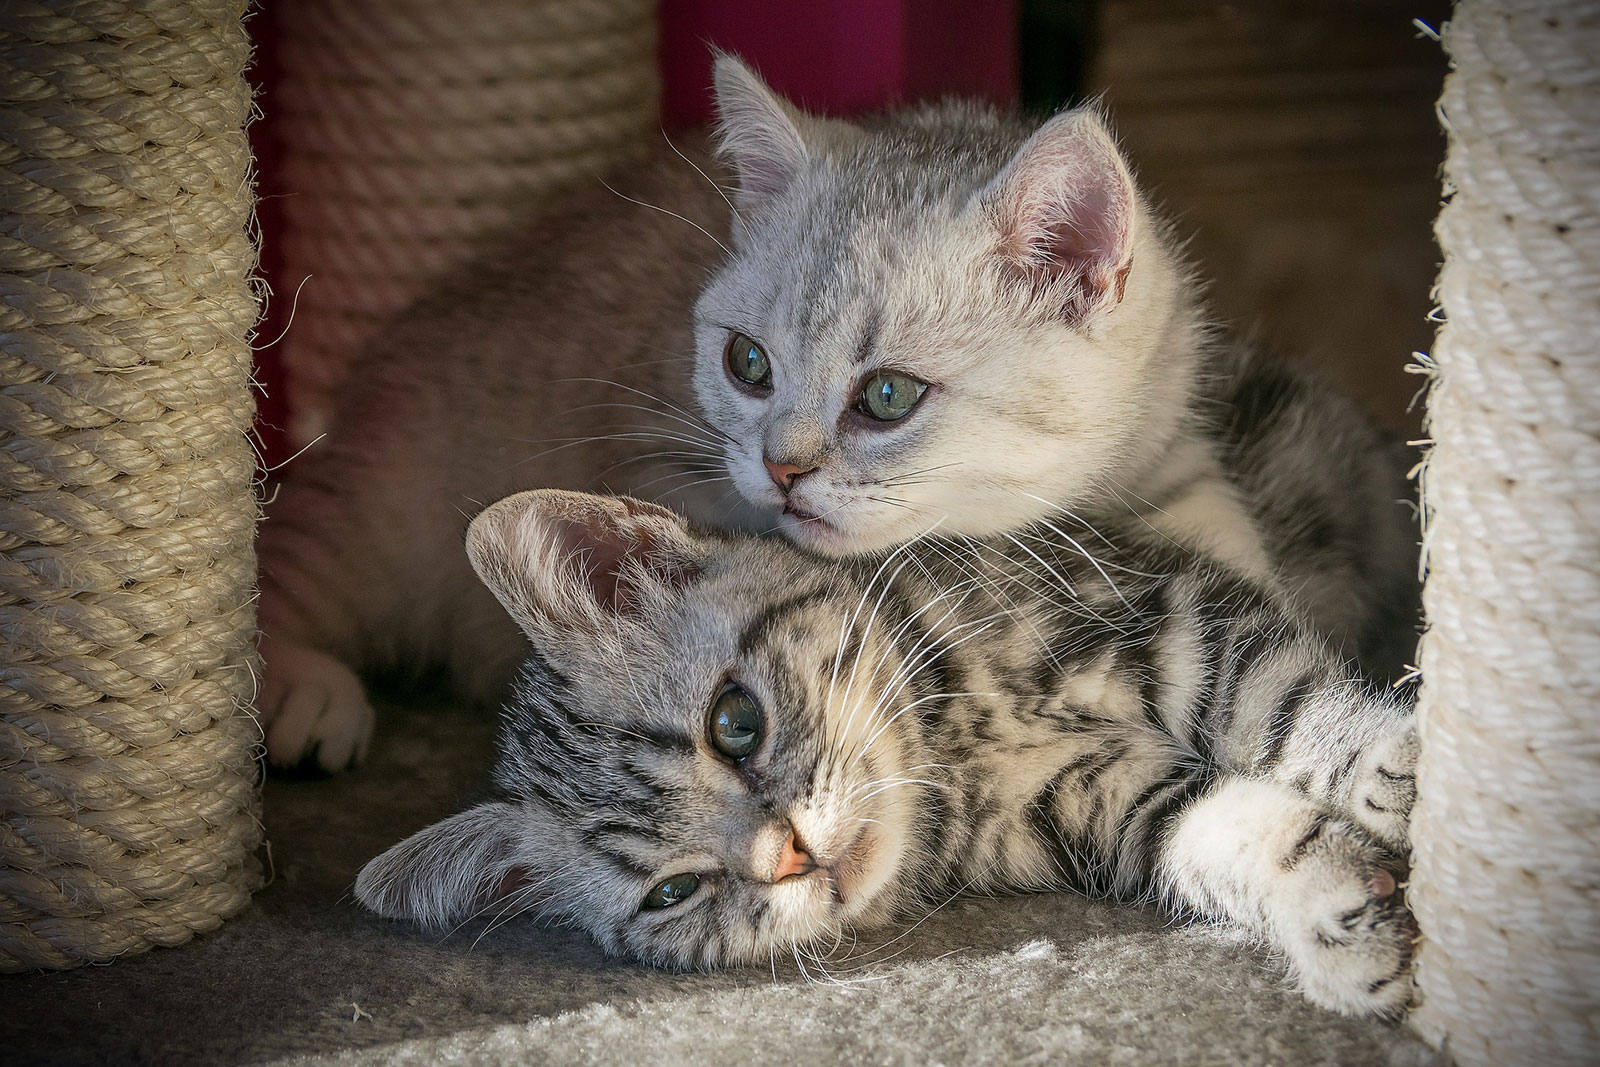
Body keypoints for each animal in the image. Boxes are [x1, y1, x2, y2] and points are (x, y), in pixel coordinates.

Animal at [259, 54, 1414, 771]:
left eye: (887, 397)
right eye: (747, 363)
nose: (779, 467)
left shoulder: (1172, 454)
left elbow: (1232, 555)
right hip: (394, 503)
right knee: (290, 569)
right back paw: (303, 694)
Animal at [356, 492, 1420, 1017]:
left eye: (735, 722)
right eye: (673, 891)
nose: (789, 854)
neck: (955, 750)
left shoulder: (1161, 608)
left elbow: (1282, 703)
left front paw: (1394, 765)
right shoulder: (1105, 805)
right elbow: (1211, 830)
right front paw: (1332, 908)